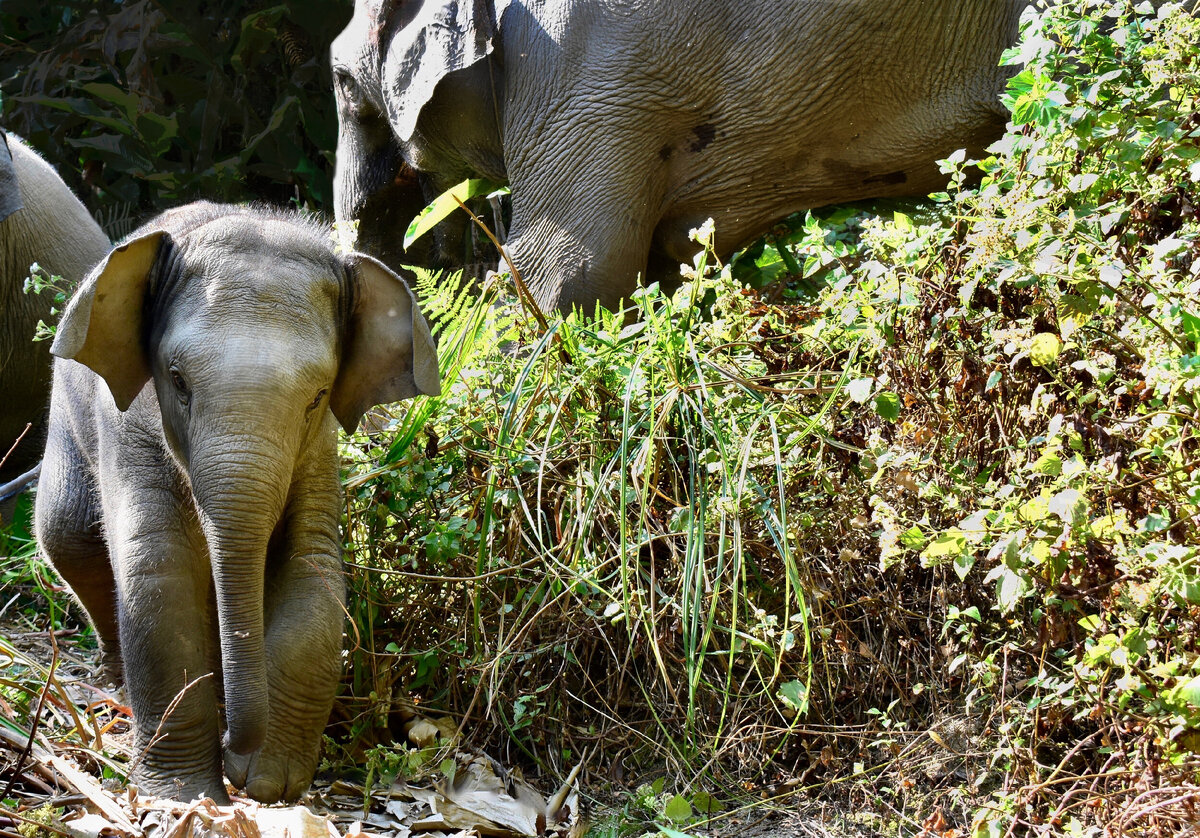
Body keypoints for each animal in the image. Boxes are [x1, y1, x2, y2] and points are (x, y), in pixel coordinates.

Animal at [35, 202, 444, 801]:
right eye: (177, 381)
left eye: (318, 396)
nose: (234, 751)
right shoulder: (130, 425)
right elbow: (158, 571)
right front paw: (185, 797)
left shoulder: (317, 451)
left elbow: (313, 570)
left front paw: (271, 781)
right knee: (67, 533)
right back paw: (116, 684)